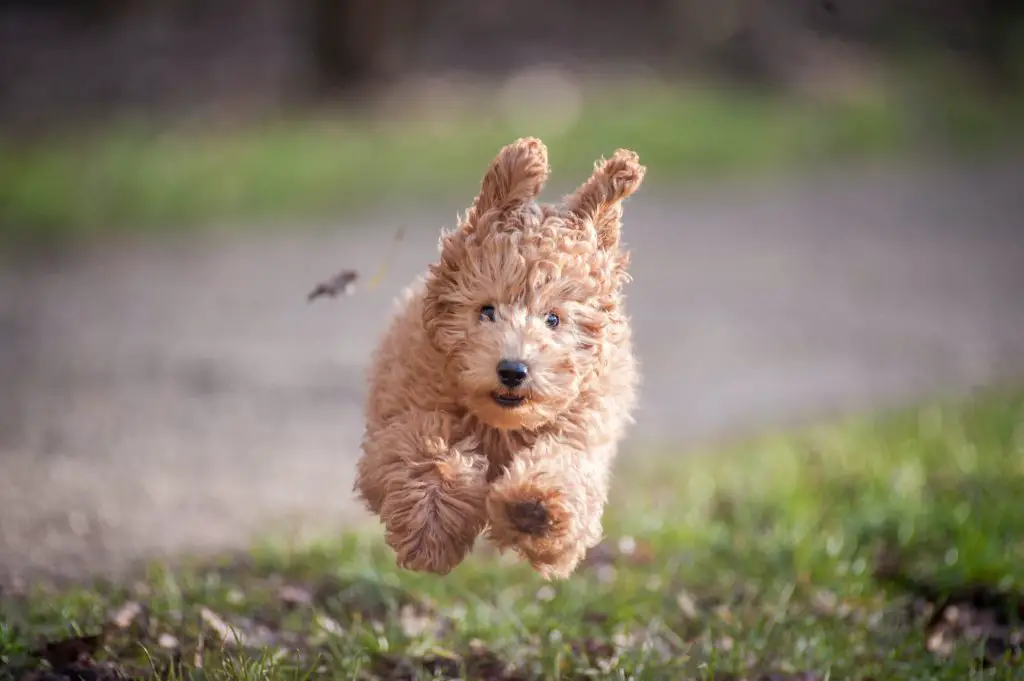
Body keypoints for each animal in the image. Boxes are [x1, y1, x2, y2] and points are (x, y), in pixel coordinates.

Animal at [356, 138, 643, 577]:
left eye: (553, 319)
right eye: (486, 310)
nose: (512, 369)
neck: (500, 425)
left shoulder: (582, 432)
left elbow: (565, 467)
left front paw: (534, 507)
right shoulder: (403, 417)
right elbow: (426, 451)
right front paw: (431, 531)